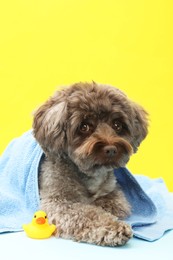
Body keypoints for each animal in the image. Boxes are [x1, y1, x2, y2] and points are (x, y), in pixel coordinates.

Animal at [32, 82, 149, 247]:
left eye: (117, 125)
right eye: (84, 126)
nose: (111, 149)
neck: (87, 174)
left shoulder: (112, 192)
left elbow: (116, 204)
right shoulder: (58, 201)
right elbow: (88, 213)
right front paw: (113, 227)